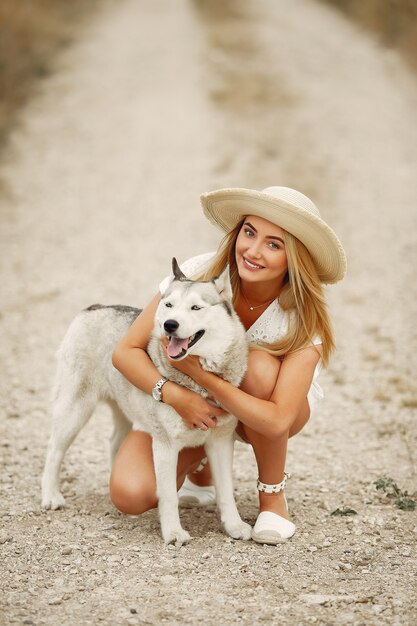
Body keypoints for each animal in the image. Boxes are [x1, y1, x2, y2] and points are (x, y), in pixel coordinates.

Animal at [42, 258, 250, 540]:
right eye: (169, 305)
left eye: (196, 307)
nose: (169, 324)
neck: (198, 382)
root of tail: (96, 307)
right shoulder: (165, 446)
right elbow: (168, 496)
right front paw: (173, 532)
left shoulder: (220, 442)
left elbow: (226, 492)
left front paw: (234, 525)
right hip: (75, 409)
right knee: (54, 449)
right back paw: (50, 495)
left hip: (121, 409)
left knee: (113, 443)